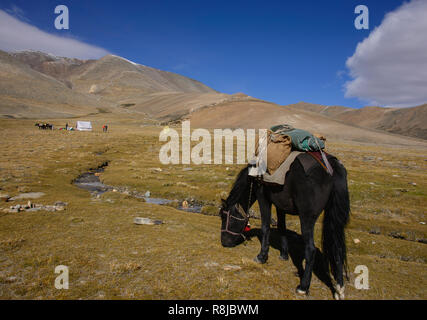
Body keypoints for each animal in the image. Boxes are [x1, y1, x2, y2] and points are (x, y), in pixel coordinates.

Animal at [221, 154, 352, 298]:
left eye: (225, 217)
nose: (224, 242)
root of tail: (332, 166)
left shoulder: (263, 197)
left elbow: (265, 226)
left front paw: (261, 257)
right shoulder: (280, 205)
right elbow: (282, 228)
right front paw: (284, 254)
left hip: (306, 217)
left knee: (311, 249)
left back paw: (303, 287)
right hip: (334, 217)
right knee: (337, 247)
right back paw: (339, 289)